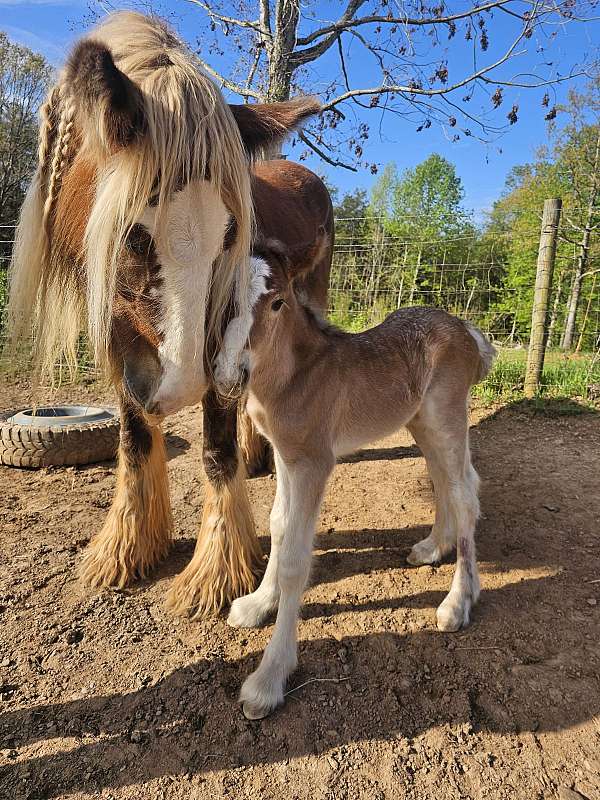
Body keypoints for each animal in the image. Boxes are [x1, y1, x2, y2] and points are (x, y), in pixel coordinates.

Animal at [7, 12, 332, 620]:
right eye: (134, 235)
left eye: (231, 234)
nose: (179, 384)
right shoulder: (122, 352)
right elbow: (134, 441)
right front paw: (126, 551)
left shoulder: (220, 345)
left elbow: (216, 453)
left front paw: (216, 576)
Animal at [216, 236, 496, 720]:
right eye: (226, 295)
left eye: (277, 302)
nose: (232, 373)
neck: (296, 378)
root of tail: (467, 330)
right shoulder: (285, 455)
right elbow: (277, 525)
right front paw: (256, 605)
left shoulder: (313, 462)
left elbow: (295, 560)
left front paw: (268, 679)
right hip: (421, 423)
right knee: (447, 480)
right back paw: (431, 548)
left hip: (446, 416)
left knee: (465, 496)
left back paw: (457, 602)